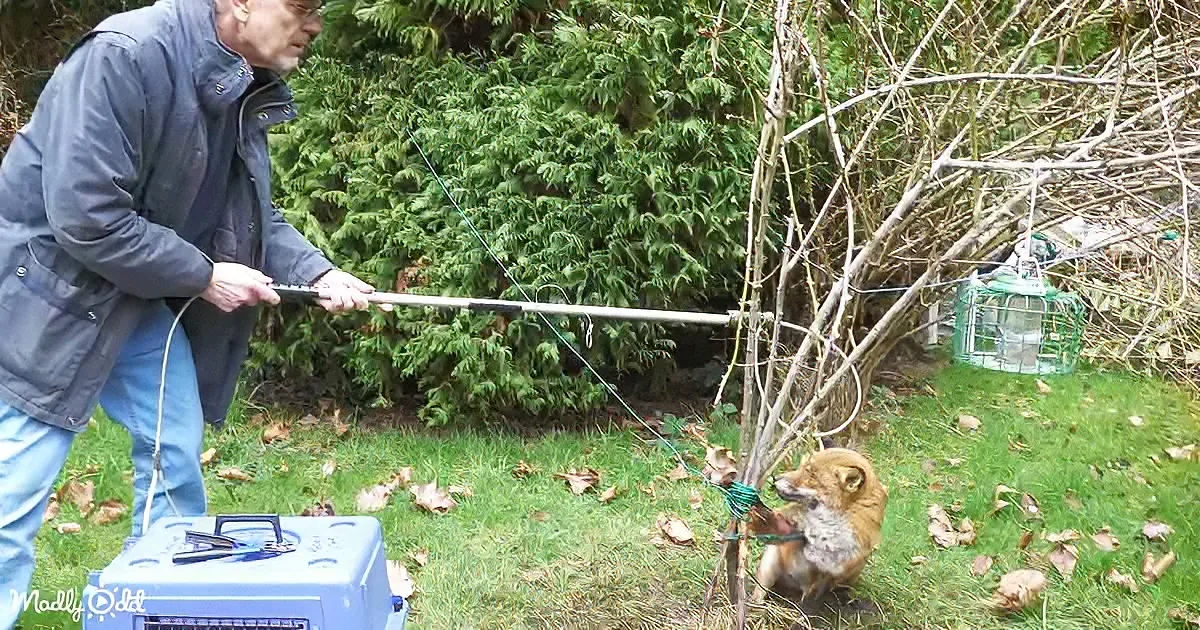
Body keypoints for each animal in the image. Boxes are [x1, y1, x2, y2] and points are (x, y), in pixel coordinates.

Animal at [748, 447, 888, 604]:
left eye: (810, 473)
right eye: (802, 466)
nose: (775, 478)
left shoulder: (826, 576)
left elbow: (807, 604)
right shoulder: (790, 533)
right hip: (770, 562)